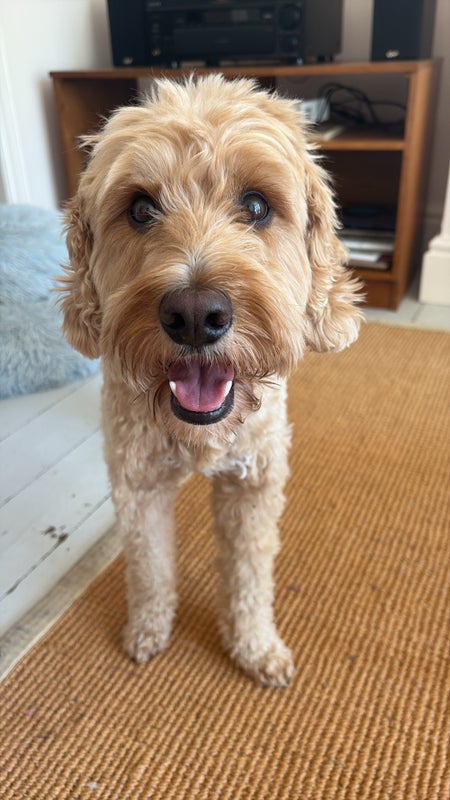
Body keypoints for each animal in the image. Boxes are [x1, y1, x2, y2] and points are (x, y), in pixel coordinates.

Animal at [59, 74, 362, 687]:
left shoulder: (254, 484)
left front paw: (254, 645)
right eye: (141, 208)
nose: (196, 314)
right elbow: (149, 566)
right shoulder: (138, 483)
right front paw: (148, 627)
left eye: (256, 205)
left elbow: (250, 574)